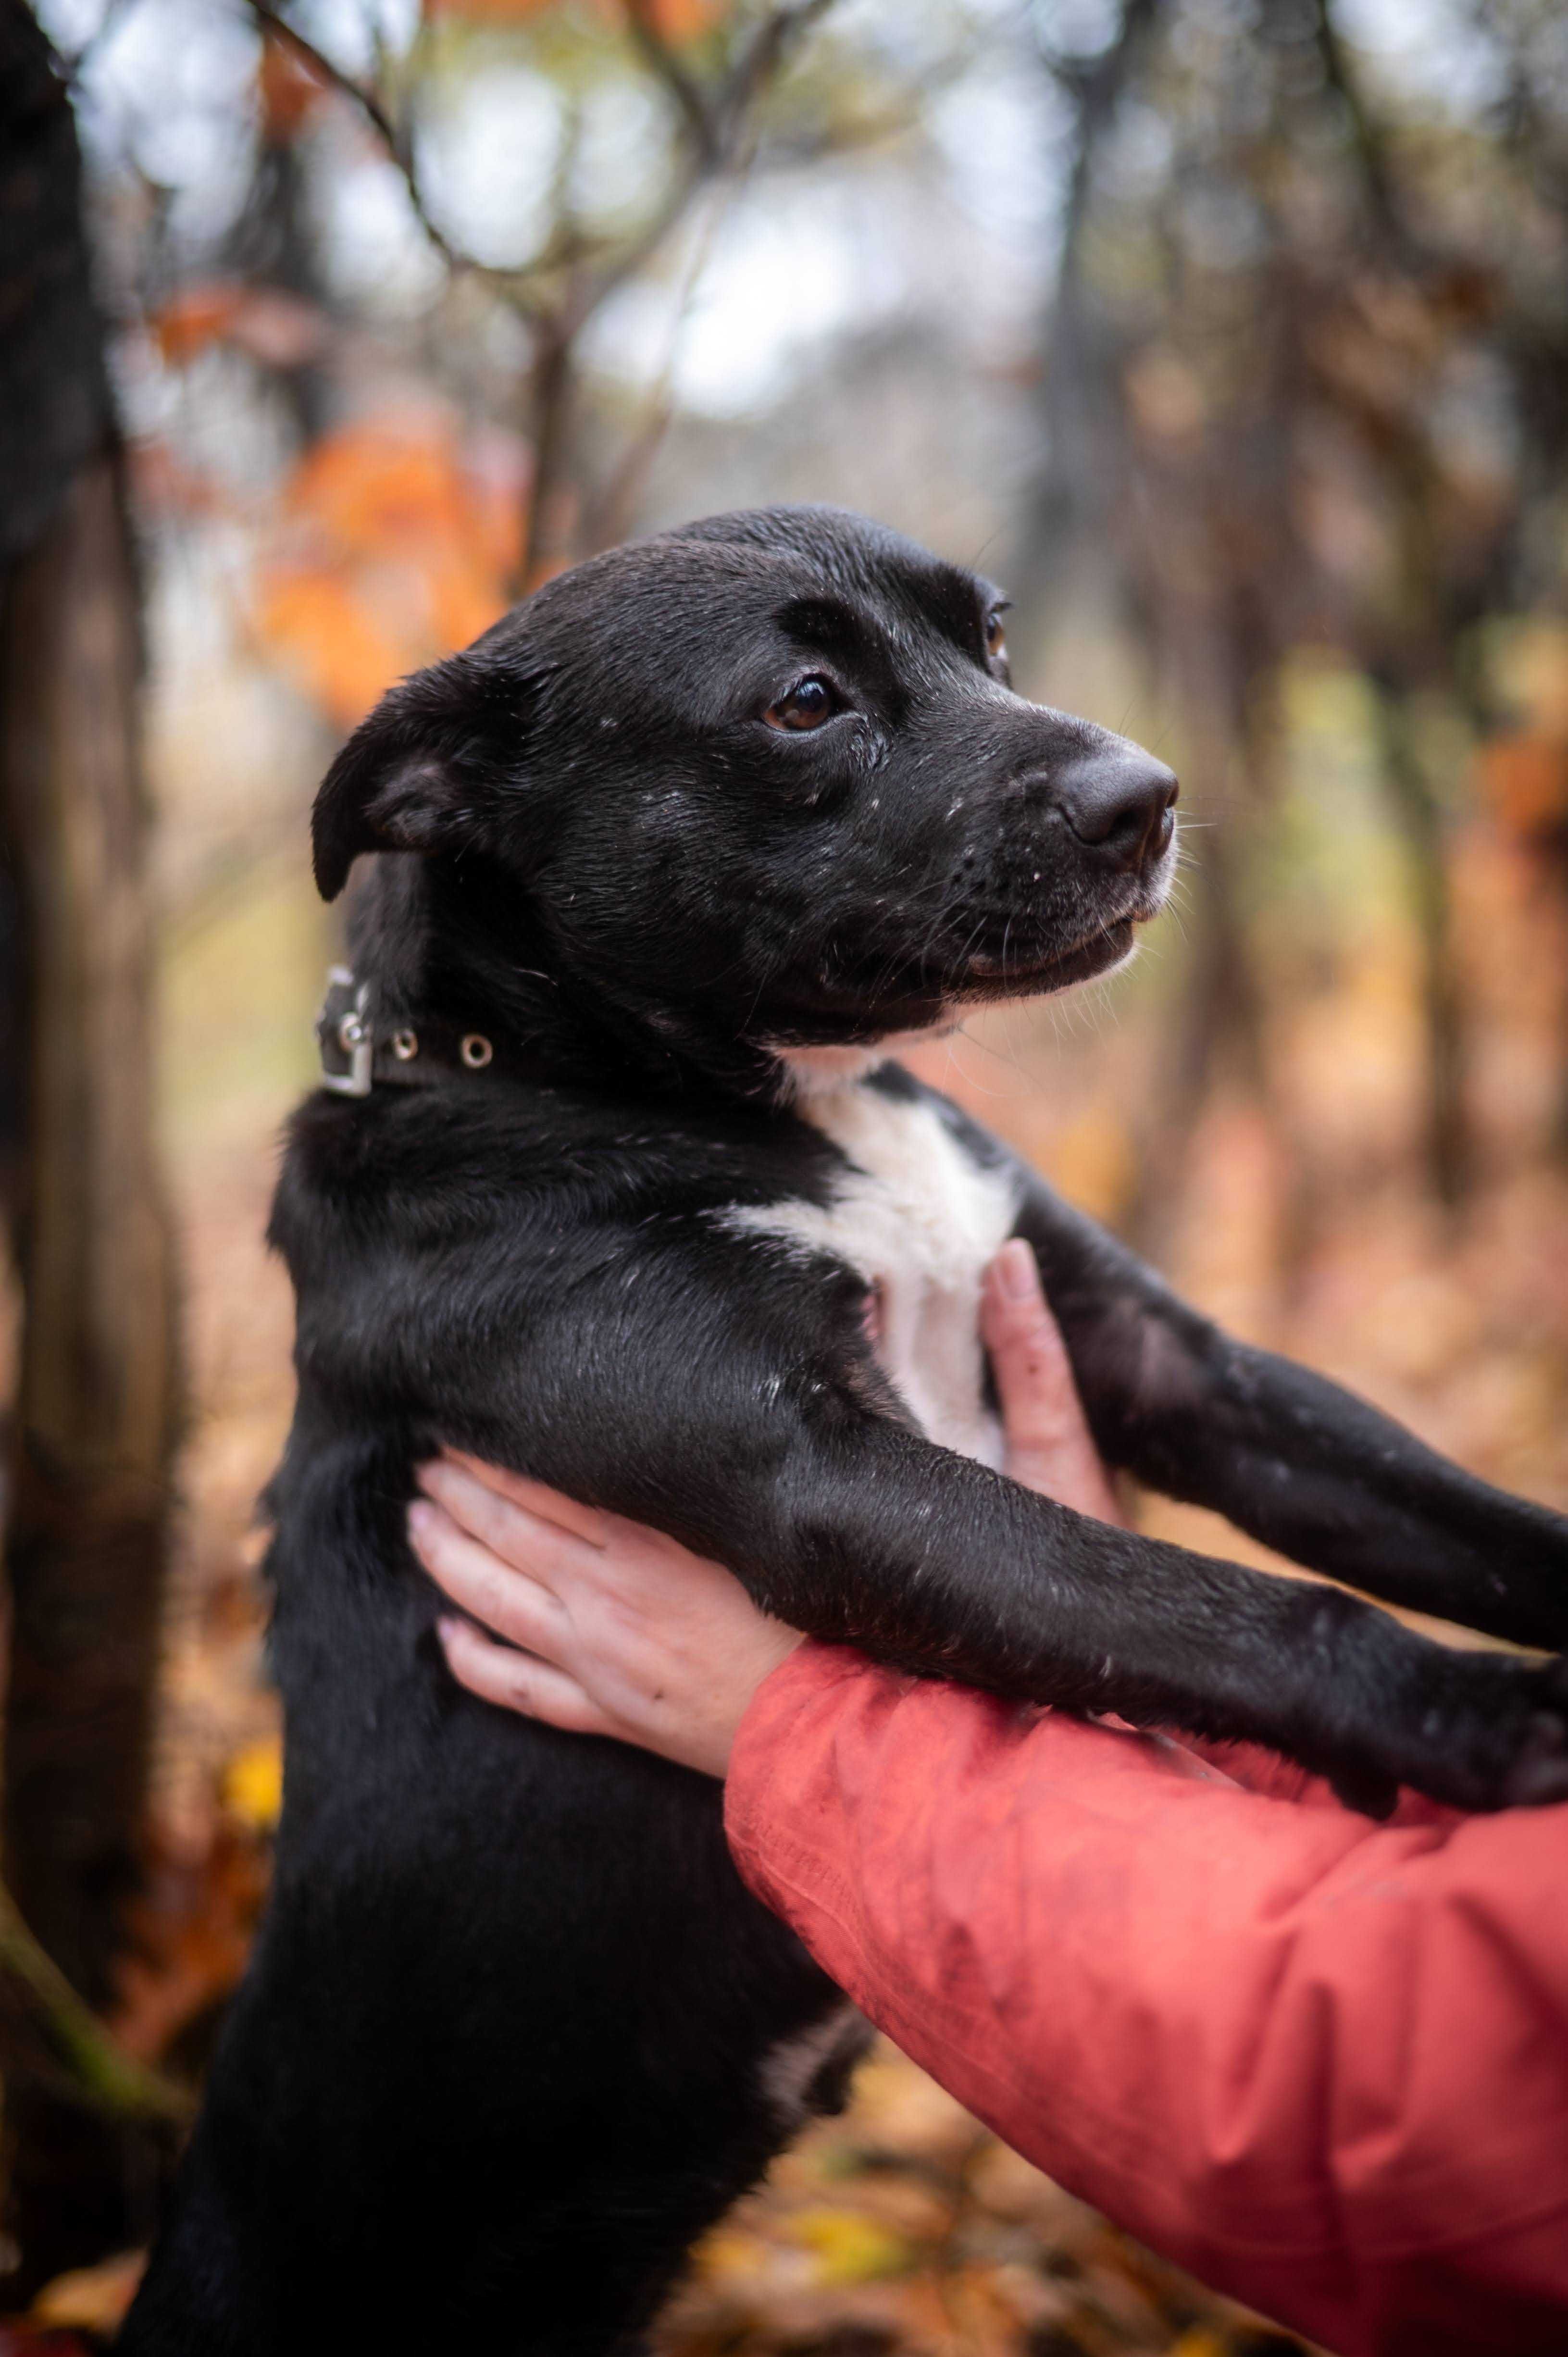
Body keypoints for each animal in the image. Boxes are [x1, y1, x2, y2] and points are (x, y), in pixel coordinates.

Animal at [123, 507, 1566, 2347]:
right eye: (804, 700)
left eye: (992, 637)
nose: (1148, 795)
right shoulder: (827, 1476)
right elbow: (1240, 1613)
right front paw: (1492, 1719)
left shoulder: (1170, 1362)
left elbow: (1446, 1519)